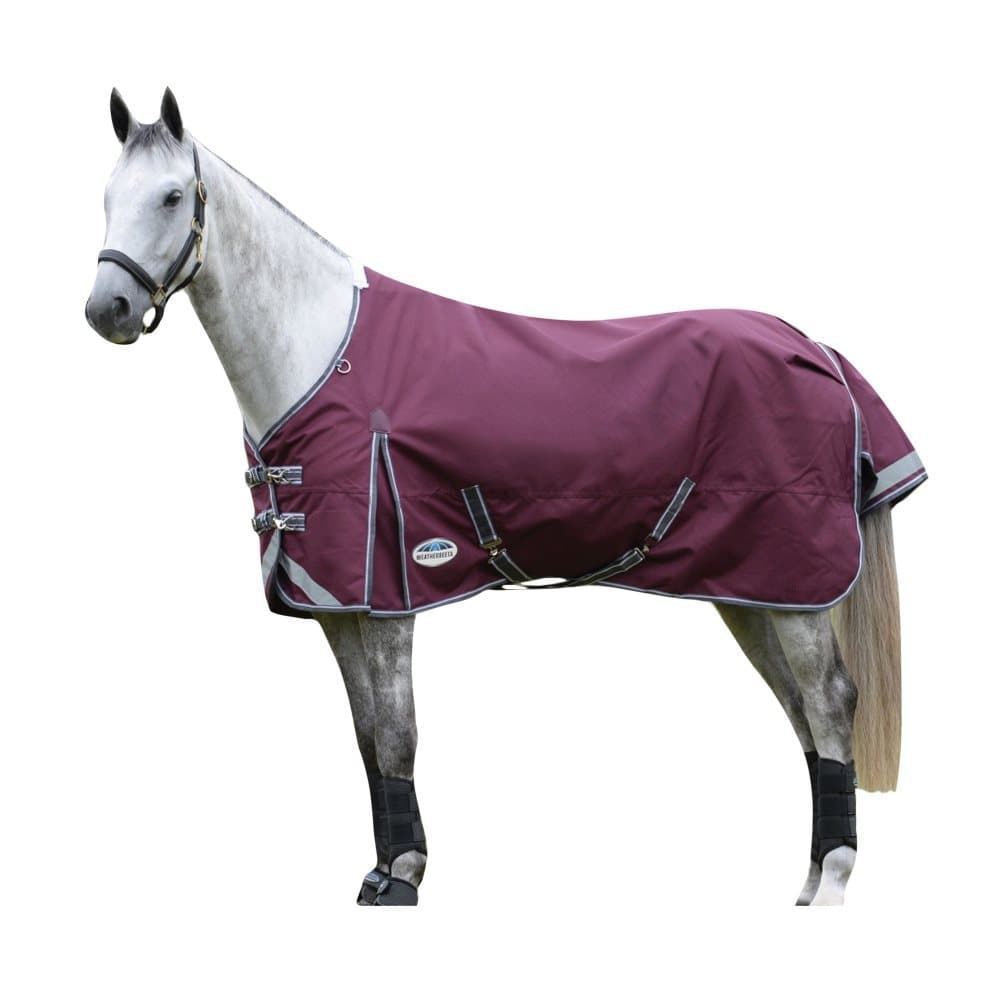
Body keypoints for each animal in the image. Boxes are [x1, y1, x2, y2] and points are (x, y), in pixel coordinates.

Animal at [85, 88, 926, 906]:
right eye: (106, 197)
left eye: (171, 196)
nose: (106, 312)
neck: (321, 357)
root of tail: (813, 347)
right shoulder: (338, 603)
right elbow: (366, 738)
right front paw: (381, 874)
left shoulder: (388, 596)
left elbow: (397, 732)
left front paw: (404, 879)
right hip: (752, 588)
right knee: (801, 713)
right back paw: (810, 880)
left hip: (796, 589)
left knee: (829, 702)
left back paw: (834, 878)